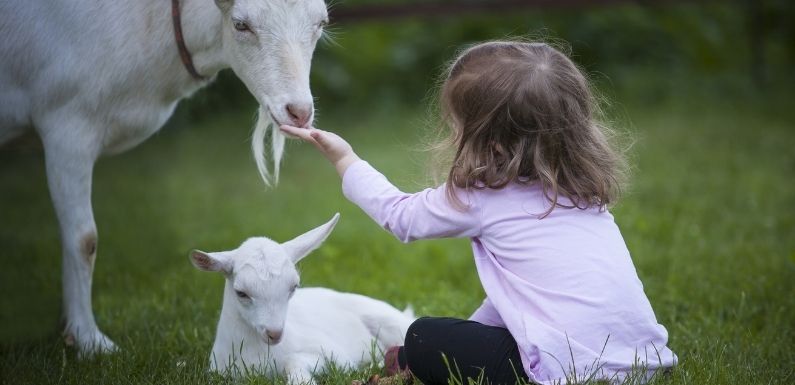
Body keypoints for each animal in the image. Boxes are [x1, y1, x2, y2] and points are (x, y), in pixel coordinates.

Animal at [0, 0, 328, 354]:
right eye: (241, 24)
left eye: (321, 23)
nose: (299, 112)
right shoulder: (67, 123)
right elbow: (83, 239)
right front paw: (89, 340)